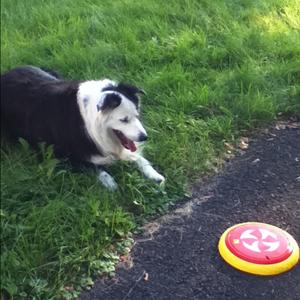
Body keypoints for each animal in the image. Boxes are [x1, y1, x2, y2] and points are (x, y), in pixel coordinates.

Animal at [0, 66, 164, 190]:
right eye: (124, 120)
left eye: (137, 115)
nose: (144, 137)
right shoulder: (62, 155)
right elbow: (95, 168)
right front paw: (110, 183)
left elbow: (139, 158)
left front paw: (155, 175)